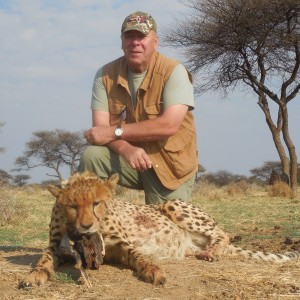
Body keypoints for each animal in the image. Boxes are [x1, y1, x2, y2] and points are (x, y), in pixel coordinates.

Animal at [19, 171, 298, 286]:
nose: (86, 226)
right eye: (73, 206)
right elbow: (44, 260)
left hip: (172, 204)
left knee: (223, 234)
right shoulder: (56, 245)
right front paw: (34, 276)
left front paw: (153, 270)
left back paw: (213, 252)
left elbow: (139, 255)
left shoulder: (122, 243)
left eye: (96, 203)